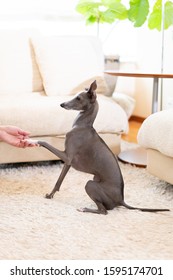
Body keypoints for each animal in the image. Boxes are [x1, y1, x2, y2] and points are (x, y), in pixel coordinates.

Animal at [36, 81, 169, 214]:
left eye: (78, 98)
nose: (62, 104)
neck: (82, 126)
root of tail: (121, 200)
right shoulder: (68, 162)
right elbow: (59, 181)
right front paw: (50, 195)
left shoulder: (67, 156)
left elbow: (45, 142)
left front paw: (35, 141)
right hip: (94, 180)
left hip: (90, 184)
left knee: (103, 211)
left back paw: (85, 208)